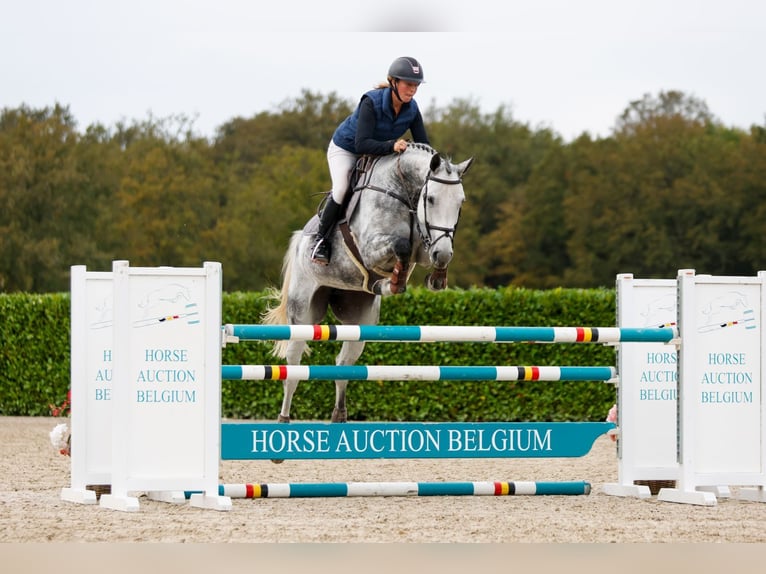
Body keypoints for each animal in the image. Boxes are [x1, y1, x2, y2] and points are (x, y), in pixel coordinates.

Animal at [262, 143, 474, 424]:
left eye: (460, 202)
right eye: (431, 199)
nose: (442, 254)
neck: (402, 191)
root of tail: (300, 239)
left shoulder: (423, 245)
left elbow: (420, 249)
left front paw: (436, 274)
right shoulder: (371, 248)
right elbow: (401, 246)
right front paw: (397, 280)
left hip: (358, 321)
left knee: (343, 365)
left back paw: (339, 415)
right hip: (303, 314)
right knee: (293, 367)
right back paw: (284, 417)